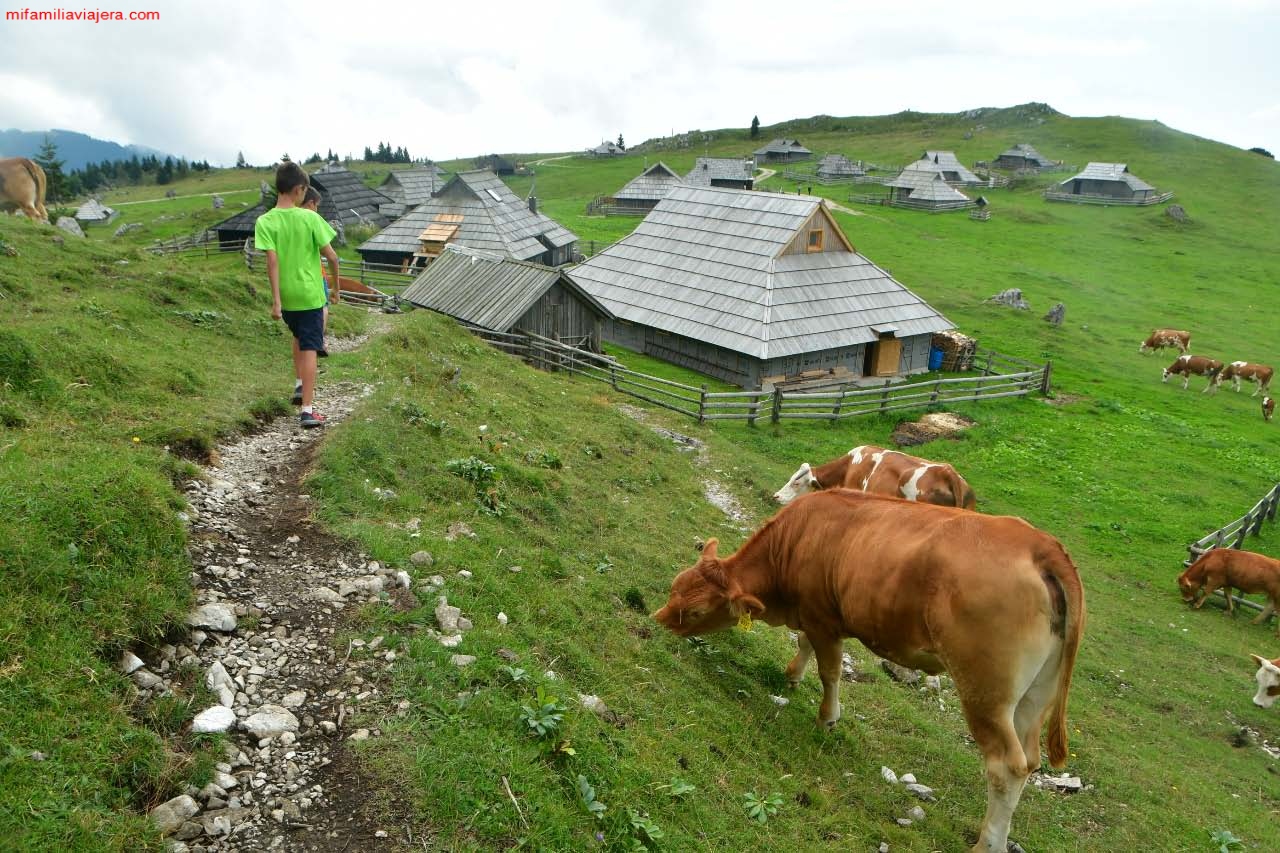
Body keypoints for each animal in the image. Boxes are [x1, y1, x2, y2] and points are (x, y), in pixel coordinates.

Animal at [655, 484, 1085, 850]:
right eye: (675, 585)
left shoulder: (822, 617)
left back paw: (987, 843)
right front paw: (792, 675)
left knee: (1005, 766)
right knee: (1029, 760)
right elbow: (804, 645)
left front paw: (827, 717)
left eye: (697, 611)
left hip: (985, 690)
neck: (797, 539)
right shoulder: (814, 615)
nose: (659, 621)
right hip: (1034, 696)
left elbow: (829, 670)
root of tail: (1039, 544)